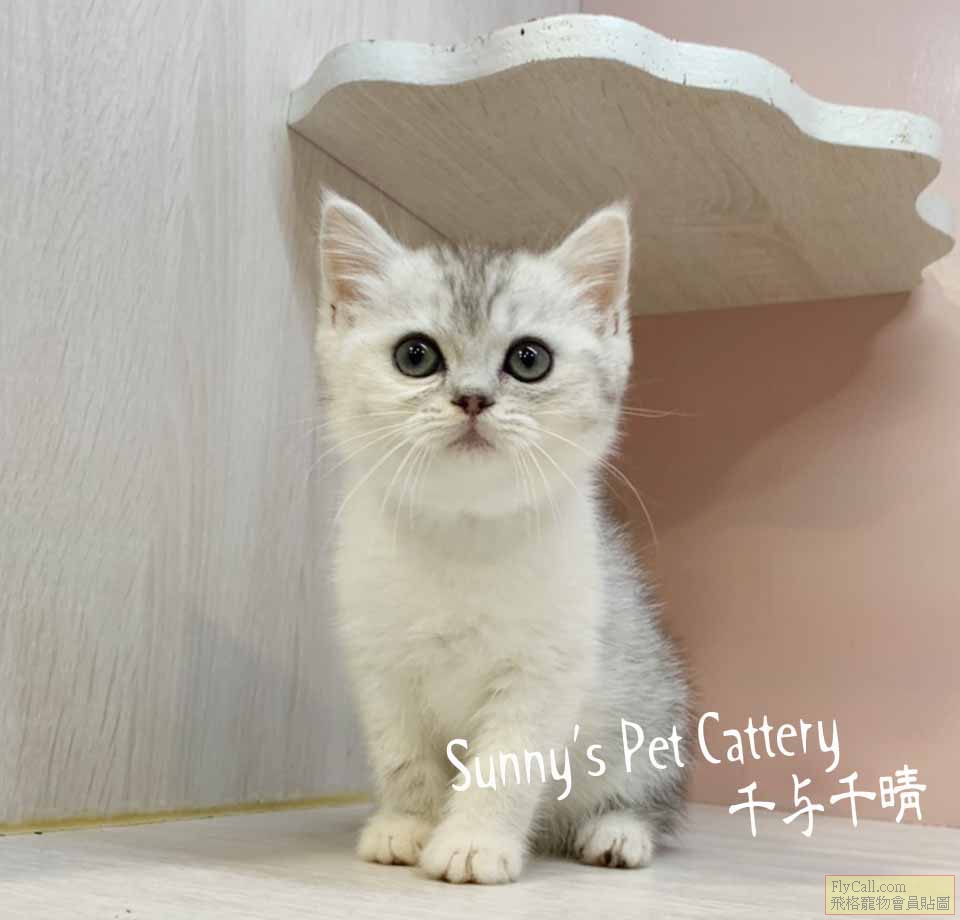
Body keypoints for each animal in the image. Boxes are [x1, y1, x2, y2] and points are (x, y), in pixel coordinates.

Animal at [314, 190, 690, 884]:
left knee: (645, 798)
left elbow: (506, 764)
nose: (472, 398)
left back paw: (618, 834)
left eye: (529, 359)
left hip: (649, 717)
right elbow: (403, 757)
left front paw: (473, 842)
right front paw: (409, 823)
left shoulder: (547, 668)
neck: (463, 530)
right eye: (415, 356)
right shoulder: (381, 663)